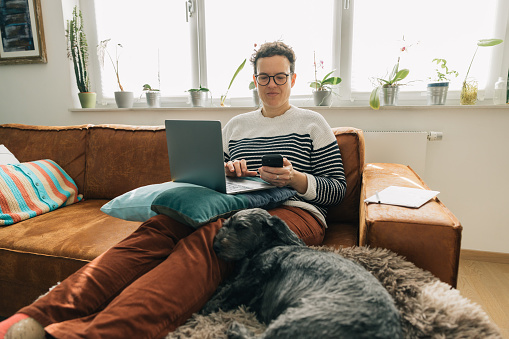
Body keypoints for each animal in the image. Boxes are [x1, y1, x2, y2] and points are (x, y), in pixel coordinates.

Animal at [200, 209, 402, 338]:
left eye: (241, 227)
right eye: (226, 224)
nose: (215, 247)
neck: (270, 245)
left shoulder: (253, 276)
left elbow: (223, 294)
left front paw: (204, 310)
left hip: (296, 316)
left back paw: (236, 328)